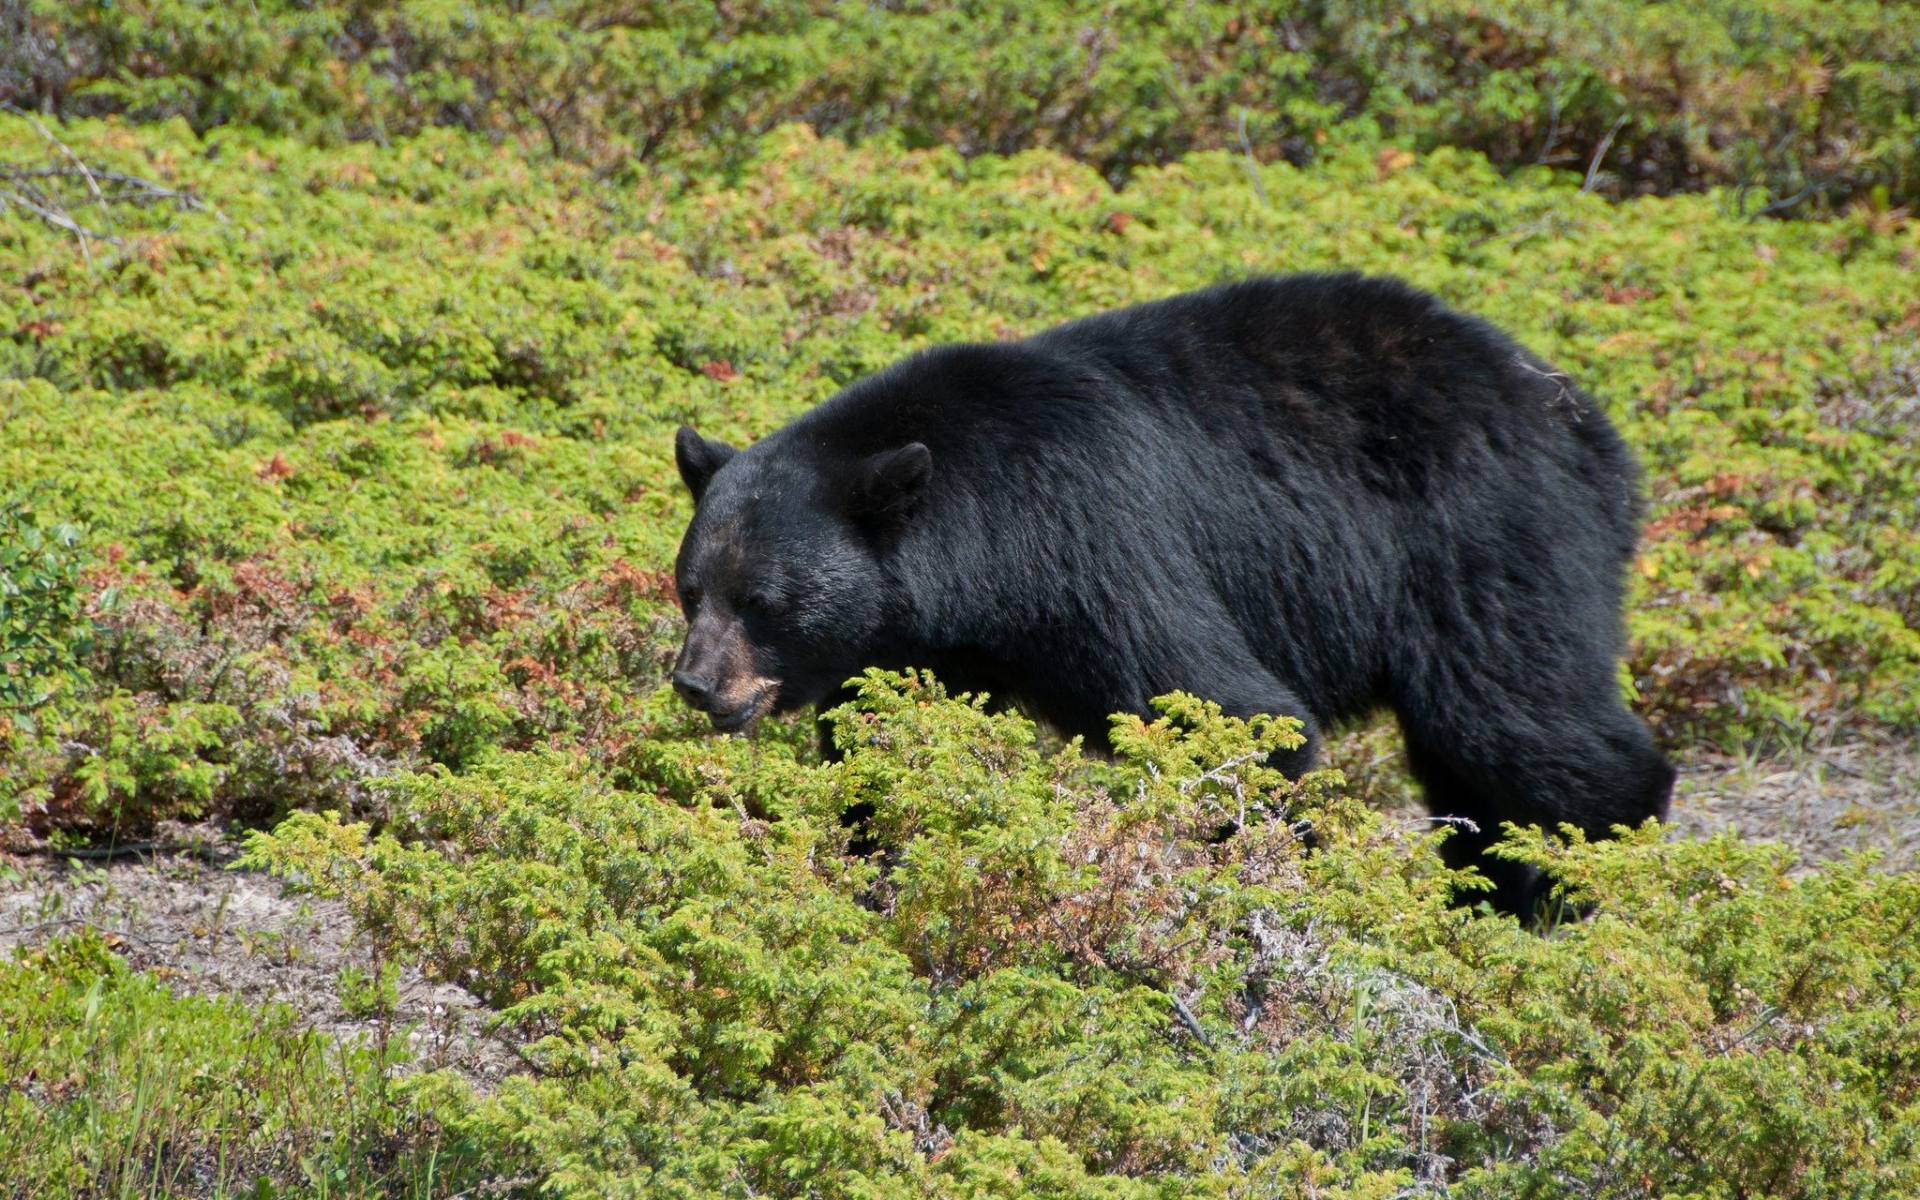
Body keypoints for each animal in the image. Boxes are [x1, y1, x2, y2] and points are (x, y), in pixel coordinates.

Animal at [669, 272, 1674, 914]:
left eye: (763, 601)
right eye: (691, 590)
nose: (696, 683)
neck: (979, 553)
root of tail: (1581, 417)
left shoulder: (1094, 543)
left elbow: (1227, 713)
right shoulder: (921, 648)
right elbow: (889, 750)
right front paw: (873, 868)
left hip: (1484, 534)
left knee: (1516, 714)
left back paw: (1572, 888)